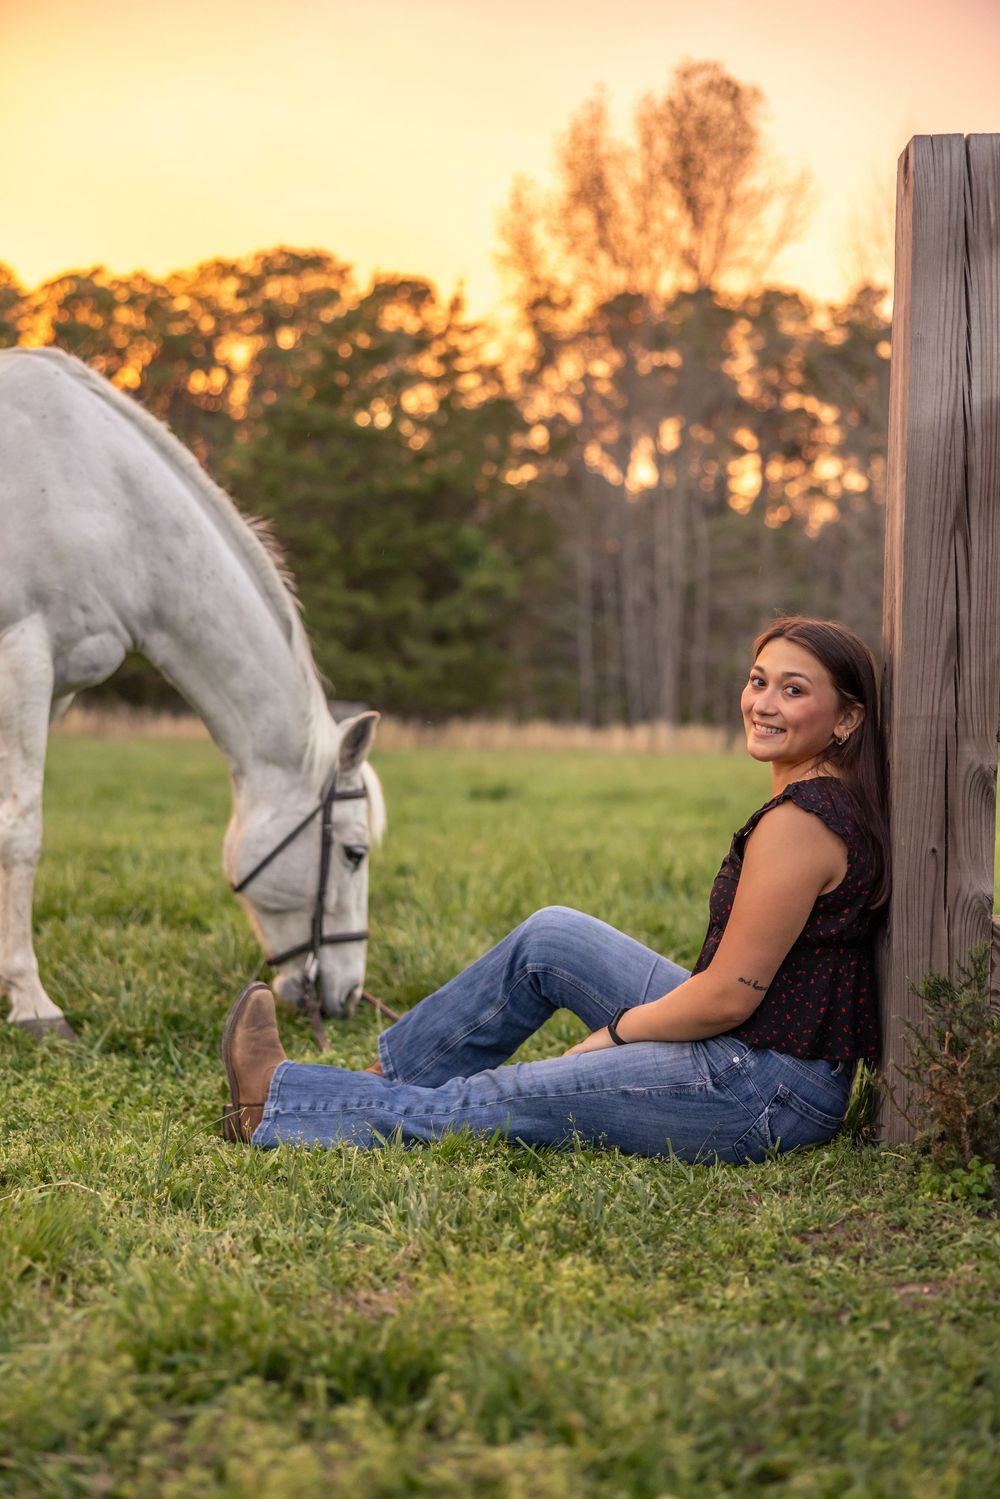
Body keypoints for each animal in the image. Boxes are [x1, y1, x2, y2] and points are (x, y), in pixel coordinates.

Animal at [0, 346, 385, 1041]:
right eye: (353, 852)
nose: (347, 996)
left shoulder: (50, 688)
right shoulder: (21, 656)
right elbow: (22, 831)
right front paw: (34, 1005)